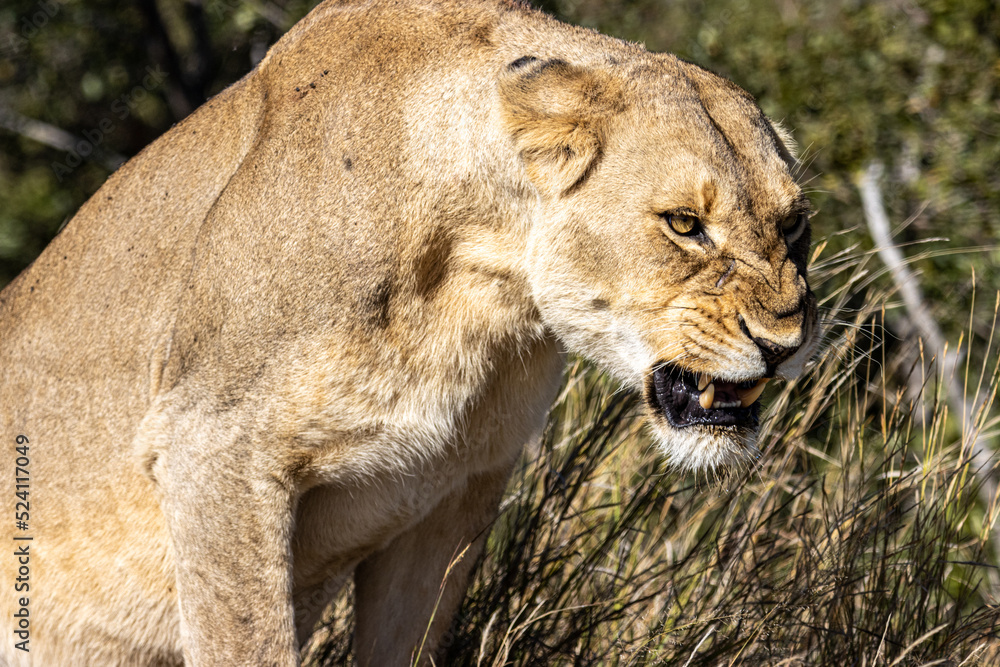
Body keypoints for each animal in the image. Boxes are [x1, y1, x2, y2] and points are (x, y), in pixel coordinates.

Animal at [0, 0, 816, 664]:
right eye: (684, 224)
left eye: (793, 224)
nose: (786, 345)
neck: (480, 282)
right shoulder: (210, 447)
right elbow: (249, 641)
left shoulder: (455, 492)